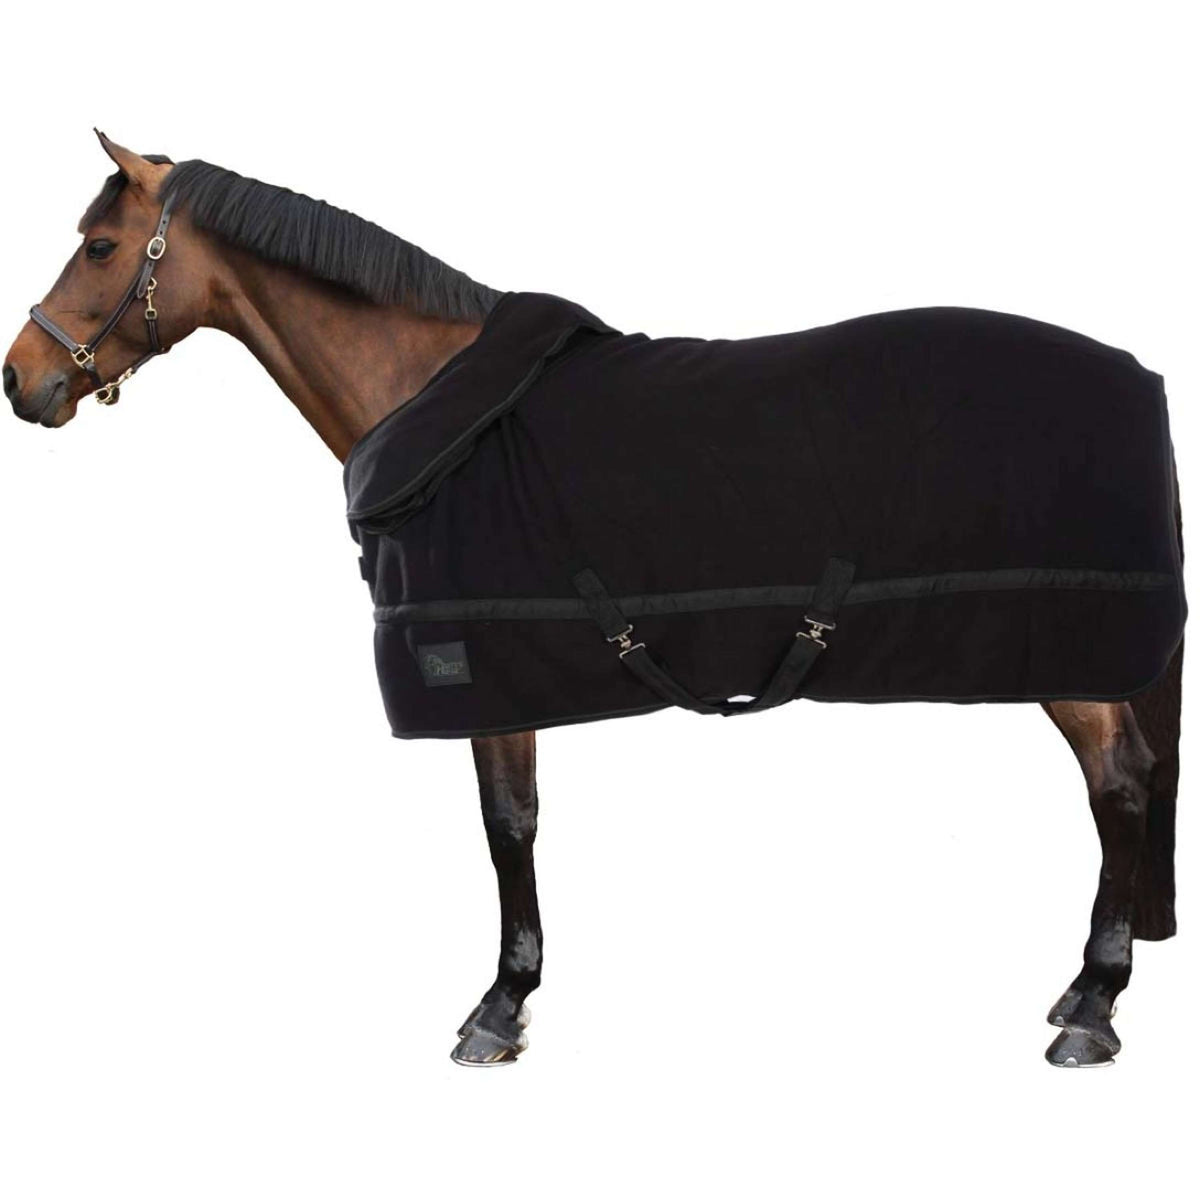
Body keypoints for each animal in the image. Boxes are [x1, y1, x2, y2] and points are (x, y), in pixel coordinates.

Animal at [3, 132, 1183, 1069]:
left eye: (100, 247)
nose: (22, 381)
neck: (437, 403)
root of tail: (1138, 375)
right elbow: (515, 821)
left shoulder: (481, 669)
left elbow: (508, 826)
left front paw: (500, 1006)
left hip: (1071, 651)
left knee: (1121, 783)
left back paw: (1093, 1007)